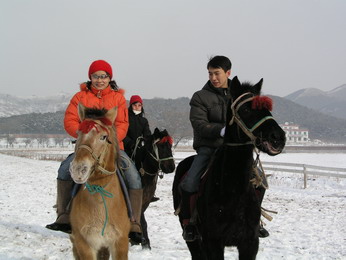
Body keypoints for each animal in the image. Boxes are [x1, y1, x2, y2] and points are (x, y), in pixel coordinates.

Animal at [172, 76, 286, 260]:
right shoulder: (213, 242)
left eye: (267, 109)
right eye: (246, 109)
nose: (278, 137)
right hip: (192, 239)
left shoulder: (250, 243)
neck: (233, 190)